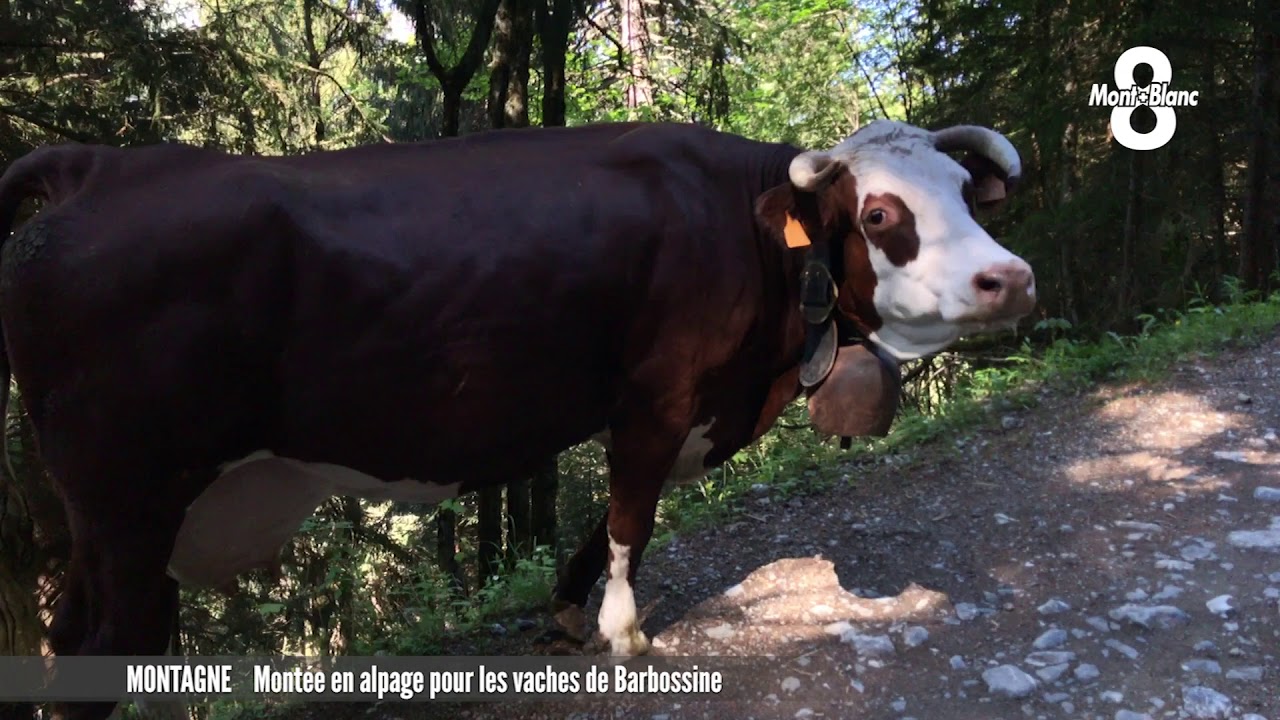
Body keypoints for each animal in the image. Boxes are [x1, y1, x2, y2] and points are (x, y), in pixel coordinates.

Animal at [0, 119, 1033, 719]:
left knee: (67, 640)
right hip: (128, 503)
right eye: (880, 213)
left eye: (963, 194)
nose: (1010, 277)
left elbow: (605, 519)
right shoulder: (658, 392)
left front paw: (570, 613)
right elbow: (631, 515)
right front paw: (623, 631)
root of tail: (96, 167)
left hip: (93, 518)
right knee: (110, 643)